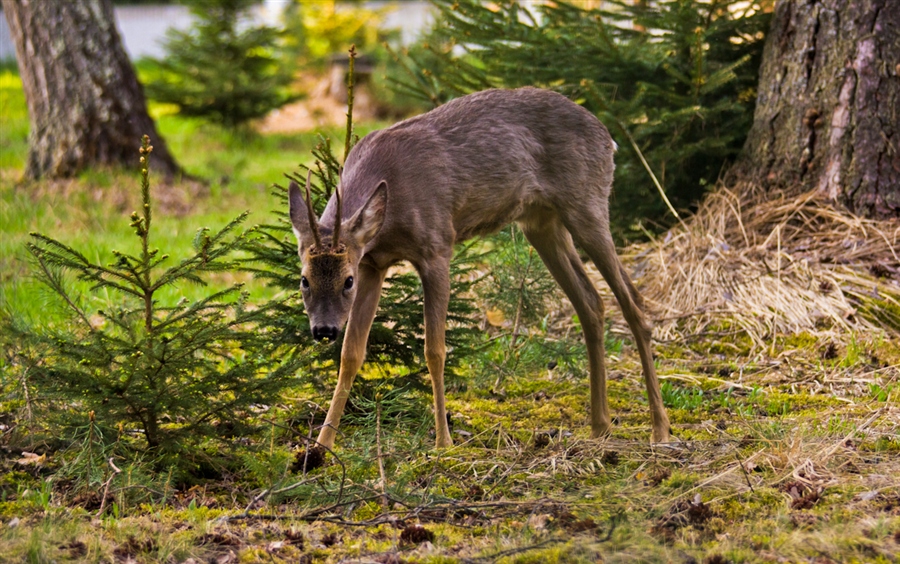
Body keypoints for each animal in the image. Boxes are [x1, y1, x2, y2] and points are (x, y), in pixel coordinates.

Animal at [288, 87, 668, 450]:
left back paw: (659, 429)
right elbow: (351, 354)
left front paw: (443, 441)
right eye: (304, 280)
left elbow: (435, 350)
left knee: (634, 304)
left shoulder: (437, 247)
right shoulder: (374, 263)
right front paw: (321, 446)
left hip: (587, 203)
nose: (323, 329)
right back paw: (600, 426)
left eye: (346, 280)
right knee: (591, 302)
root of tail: (607, 136)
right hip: (541, 222)